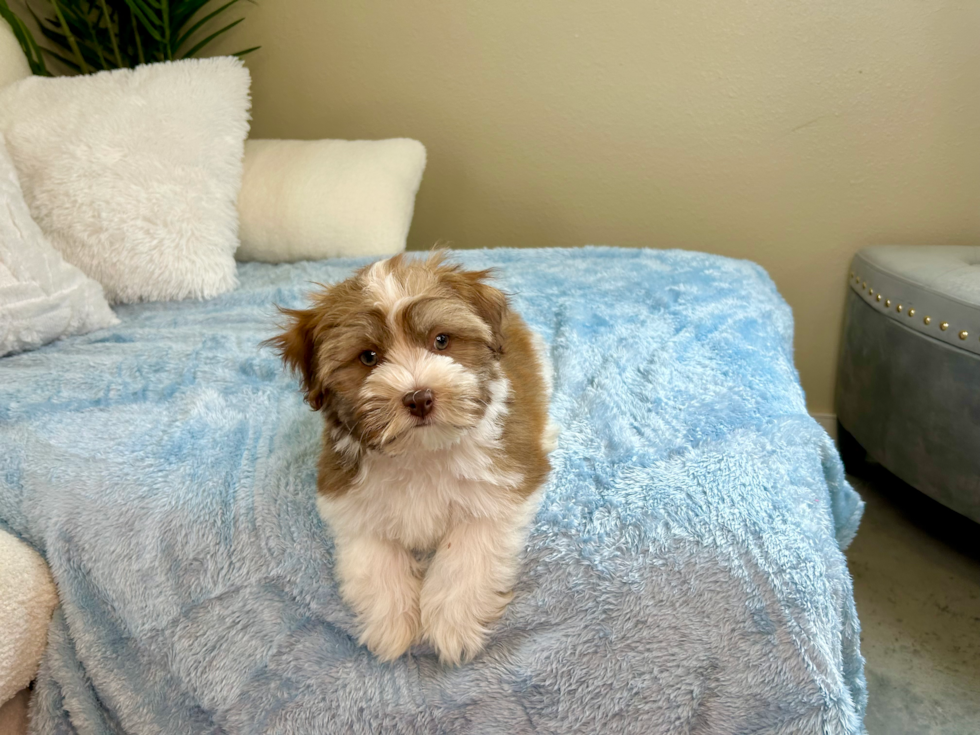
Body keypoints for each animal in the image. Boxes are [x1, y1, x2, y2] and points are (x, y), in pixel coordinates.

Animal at [268, 253, 556, 668]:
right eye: (369, 357)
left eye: (441, 340)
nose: (419, 397)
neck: (420, 452)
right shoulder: (347, 498)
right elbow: (374, 556)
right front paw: (391, 623)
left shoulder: (501, 485)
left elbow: (466, 550)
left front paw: (452, 622)